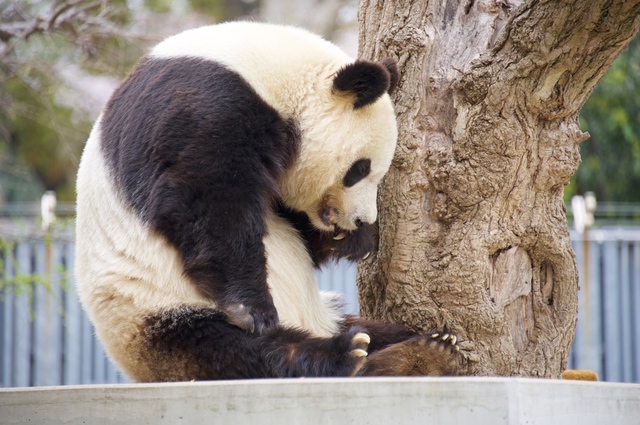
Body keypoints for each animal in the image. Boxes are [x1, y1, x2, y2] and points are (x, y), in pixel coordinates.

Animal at [75, 20, 458, 380]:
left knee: (374, 331)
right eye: (359, 169)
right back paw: (343, 355)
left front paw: (352, 240)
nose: (362, 219)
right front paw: (252, 308)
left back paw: (425, 350)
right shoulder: (202, 110)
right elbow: (207, 200)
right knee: (234, 351)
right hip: (152, 311)